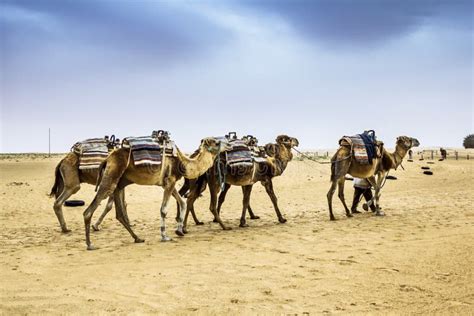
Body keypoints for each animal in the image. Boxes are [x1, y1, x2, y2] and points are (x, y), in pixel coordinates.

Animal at [83, 137, 230, 251]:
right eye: (216, 142)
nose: (229, 145)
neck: (183, 162)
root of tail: (107, 159)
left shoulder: (167, 183)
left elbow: (182, 202)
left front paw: (179, 231)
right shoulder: (170, 181)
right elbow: (164, 209)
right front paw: (165, 236)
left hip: (119, 184)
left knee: (119, 214)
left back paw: (138, 238)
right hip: (112, 176)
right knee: (89, 211)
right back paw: (90, 244)